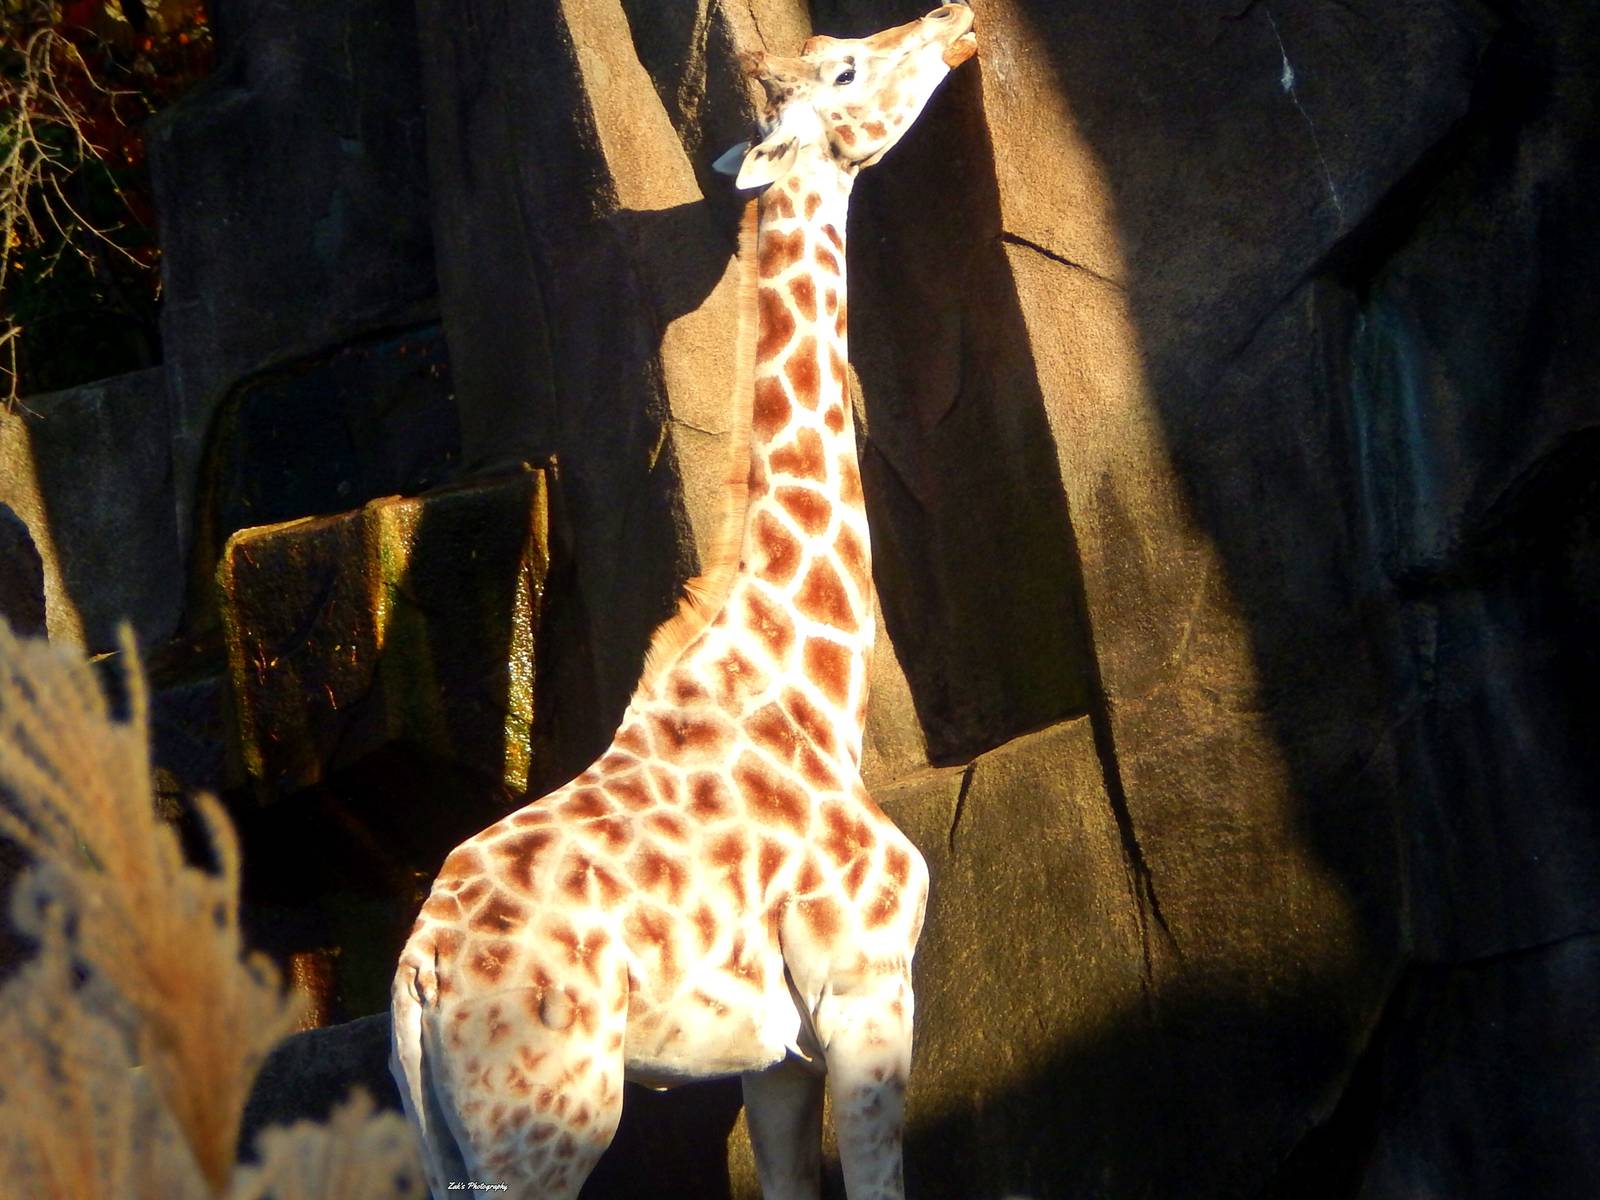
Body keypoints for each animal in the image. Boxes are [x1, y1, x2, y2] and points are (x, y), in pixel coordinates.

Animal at [390, 7, 978, 1198]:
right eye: (846, 68)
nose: (954, 20)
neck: (809, 682)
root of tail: (415, 981)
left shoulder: (775, 1055)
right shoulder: (869, 992)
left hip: (447, 1145)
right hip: (550, 1123)